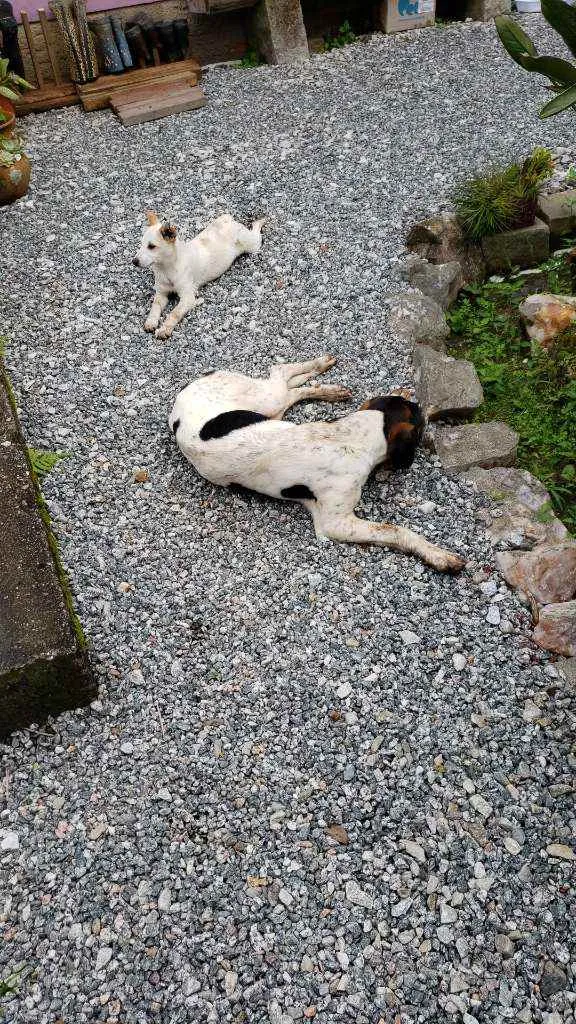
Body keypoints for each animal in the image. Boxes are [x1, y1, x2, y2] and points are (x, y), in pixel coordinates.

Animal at [168, 356, 463, 573]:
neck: (350, 436)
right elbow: (395, 530)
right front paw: (438, 555)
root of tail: (187, 388)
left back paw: (327, 386)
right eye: (420, 425)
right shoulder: (335, 523)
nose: (425, 410)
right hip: (267, 399)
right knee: (279, 373)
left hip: (270, 411)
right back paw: (321, 371)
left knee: (292, 388)